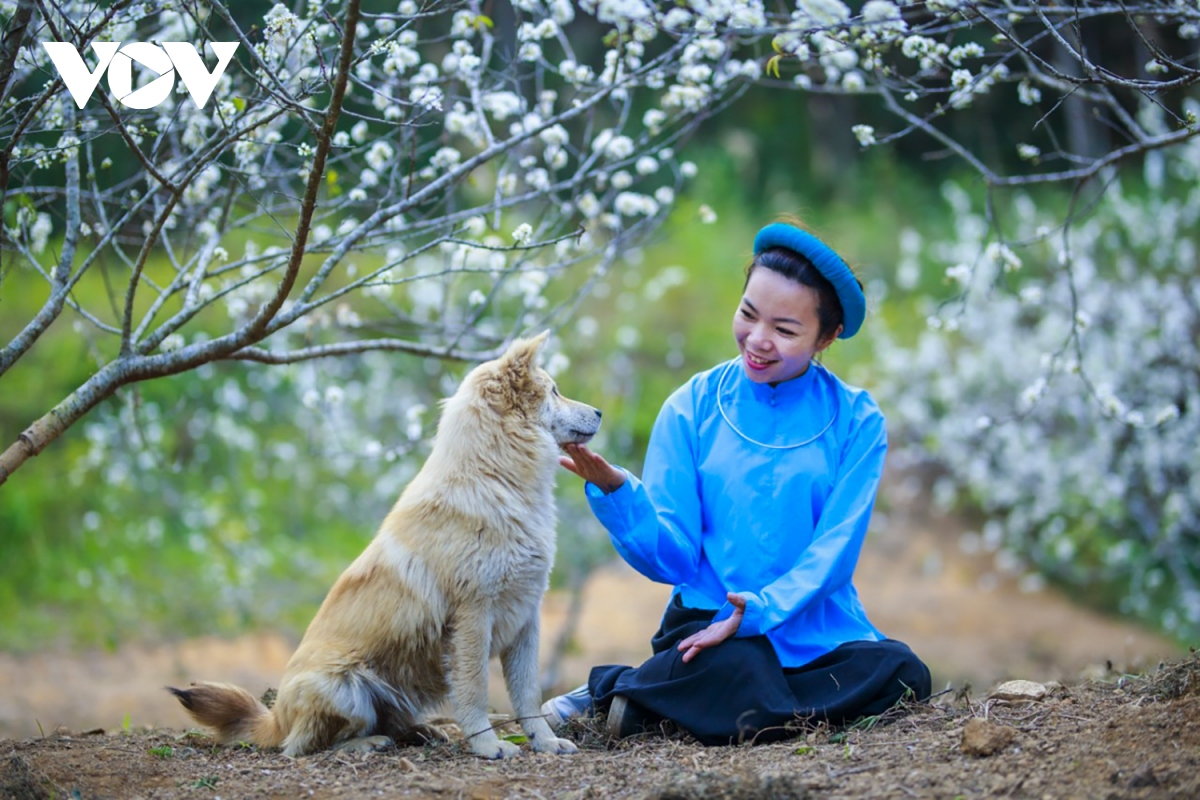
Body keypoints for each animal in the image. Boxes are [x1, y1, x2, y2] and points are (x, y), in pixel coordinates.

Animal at [169, 335, 600, 762]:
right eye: (555, 390)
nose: (597, 411)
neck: (494, 477)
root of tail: (275, 718)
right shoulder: (473, 618)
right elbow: (475, 690)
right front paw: (488, 746)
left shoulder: (527, 617)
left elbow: (528, 694)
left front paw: (545, 742)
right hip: (344, 688)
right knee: (307, 747)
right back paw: (368, 743)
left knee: (380, 725)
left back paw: (424, 731)